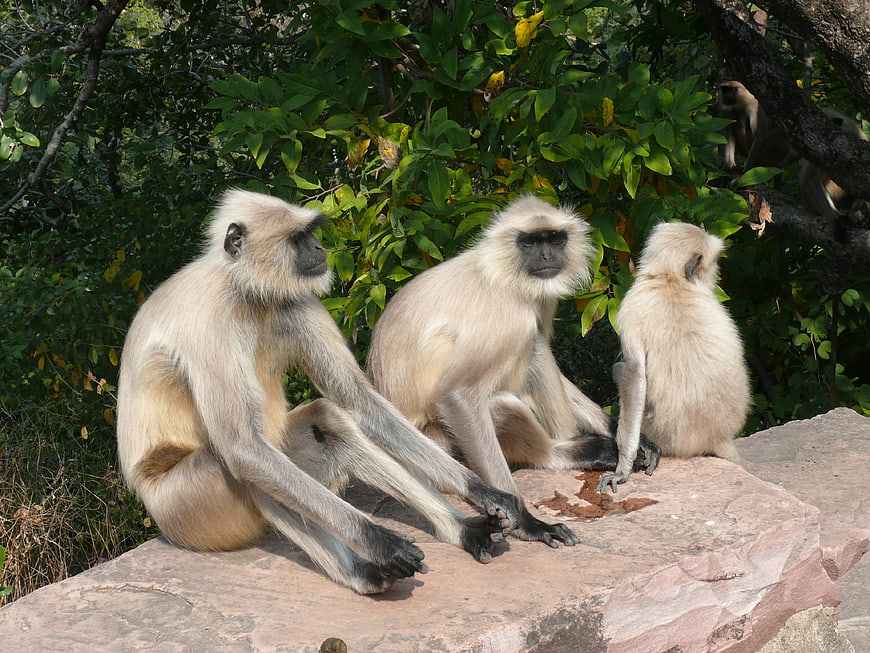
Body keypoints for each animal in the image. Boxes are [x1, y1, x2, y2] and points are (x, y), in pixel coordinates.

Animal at [116, 189, 523, 595]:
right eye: (299, 238)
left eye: (311, 233)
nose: (318, 247)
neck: (246, 292)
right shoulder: (209, 321)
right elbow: (241, 448)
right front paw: (378, 540)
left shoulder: (294, 300)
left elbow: (357, 399)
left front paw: (485, 492)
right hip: (183, 508)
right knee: (239, 463)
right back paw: (361, 572)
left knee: (329, 420)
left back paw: (461, 530)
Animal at [367, 196, 660, 547]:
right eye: (529, 242)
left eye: (554, 239)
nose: (546, 256)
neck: (502, 274)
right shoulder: (507, 315)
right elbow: (457, 397)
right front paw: (526, 522)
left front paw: (627, 435)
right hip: (442, 443)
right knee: (504, 396)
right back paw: (556, 455)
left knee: (535, 345)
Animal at [597, 222, 750, 494]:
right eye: (714, 262)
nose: (718, 275)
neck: (671, 280)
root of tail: (718, 437)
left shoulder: (631, 304)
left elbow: (634, 374)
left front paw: (622, 470)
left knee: (620, 369)